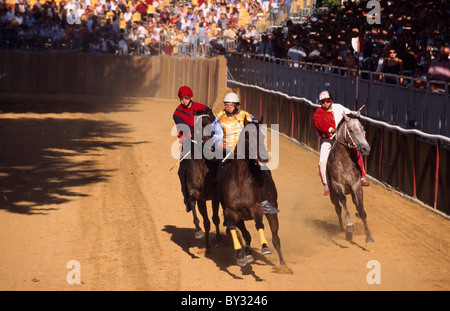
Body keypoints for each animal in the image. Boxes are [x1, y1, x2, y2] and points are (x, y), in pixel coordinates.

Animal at [185, 110, 223, 251]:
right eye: (198, 126)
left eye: (211, 123)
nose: (211, 146)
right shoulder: (199, 197)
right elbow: (205, 220)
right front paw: (199, 231)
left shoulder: (215, 196)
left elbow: (215, 218)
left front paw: (218, 240)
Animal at [217, 117, 284, 268]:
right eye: (249, 136)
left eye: (263, 136)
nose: (264, 157)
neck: (240, 180)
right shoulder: (232, 212)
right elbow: (233, 227)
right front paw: (240, 255)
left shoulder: (256, 208)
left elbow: (259, 224)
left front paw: (265, 247)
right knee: (247, 234)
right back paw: (247, 253)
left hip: (273, 208)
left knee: (276, 238)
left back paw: (283, 264)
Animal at [326, 111, 374, 244]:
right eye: (351, 130)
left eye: (362, 128)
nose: (366, 148)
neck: (344, 162)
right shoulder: (337, 186)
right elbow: (343, 201)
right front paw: (349, 225)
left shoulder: (356, 186)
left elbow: (361, 210)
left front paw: (368, 235)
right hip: (332, 195)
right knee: (338, 208)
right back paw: (342, 229)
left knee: (356, 205)